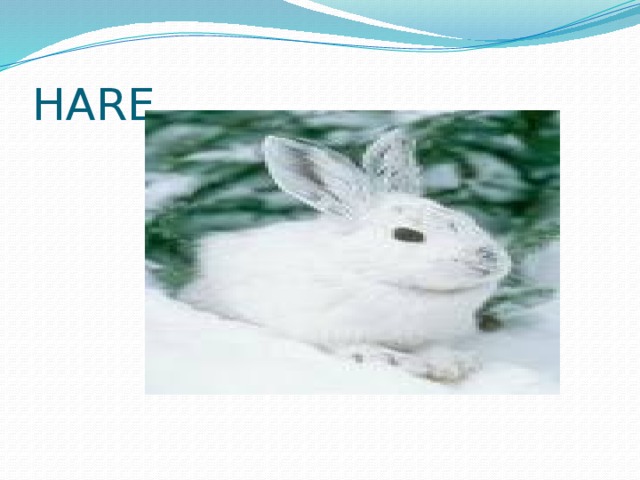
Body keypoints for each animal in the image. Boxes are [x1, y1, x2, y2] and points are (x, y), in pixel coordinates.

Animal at [180, 129, 511, 382]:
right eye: (407, 235)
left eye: (466, 218)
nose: (490, 258)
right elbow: (351, 347)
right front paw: (393, 360)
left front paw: (453, 364)